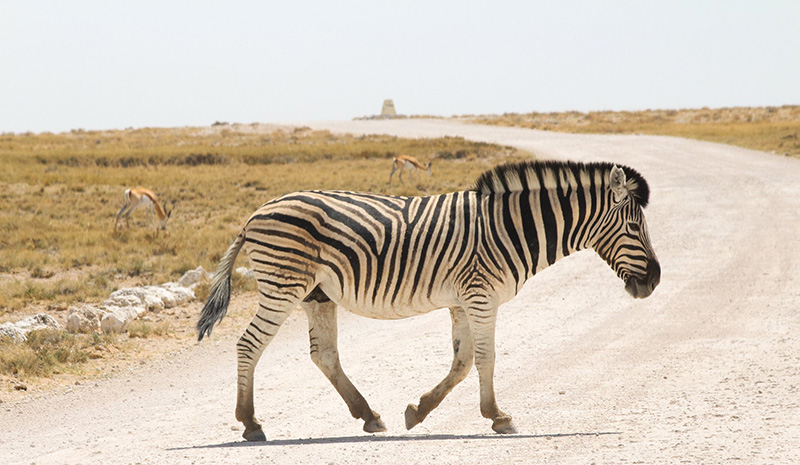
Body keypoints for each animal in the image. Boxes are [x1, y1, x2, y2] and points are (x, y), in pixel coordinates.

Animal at [197, 159, 660, 438]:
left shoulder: (464, 300)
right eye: (634, 227)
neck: (511, 228)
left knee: (324, 355)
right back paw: (250, 423)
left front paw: (418, 411)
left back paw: (369, 416)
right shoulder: (481, 296)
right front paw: (499, 417)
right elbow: (486, 358)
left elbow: (463, 362)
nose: (654, 281)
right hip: (284, 285)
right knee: (249, 345)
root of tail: (255, 214)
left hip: (317, 294)